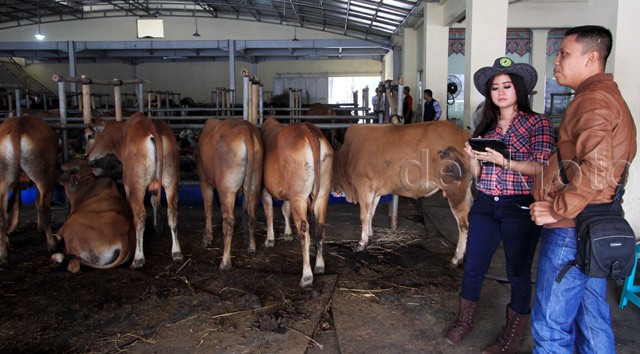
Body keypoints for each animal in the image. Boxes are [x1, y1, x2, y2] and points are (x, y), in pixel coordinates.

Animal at [0, 115, 58, 264]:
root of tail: (18, 125)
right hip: (44, 174)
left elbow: (16, 201)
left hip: (4, 178)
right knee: (44, 207)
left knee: (2, 214)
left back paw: (3, 254)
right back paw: (52, 245)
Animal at [85, 112, 182, 266]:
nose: (86, 156)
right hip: (170, 179)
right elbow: (154, 200)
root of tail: (153, 128)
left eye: (89, 136)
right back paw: (176, 252)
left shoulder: (128, 185)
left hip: (136, 185)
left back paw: (138, 258)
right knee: (172, 211)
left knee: (140, 216)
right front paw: (157, 226)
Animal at [196, 119, 264, 272]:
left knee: (228, 221)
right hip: (254, 182)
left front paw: (207, 238)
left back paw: (225, 262)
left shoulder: (204, 182)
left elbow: (208, 209)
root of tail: (245, 127)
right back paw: (251, 247)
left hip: (226, 188)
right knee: (251, 215)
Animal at [260, 117, 332, 290]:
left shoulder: (265, 189)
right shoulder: (289, 195)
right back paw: (319, 266)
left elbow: (269, 211)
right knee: (320, 227)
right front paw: (287, 234)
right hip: (323, 191)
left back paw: (306, 276)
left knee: (304, 232)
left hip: (298, 196)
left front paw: (270, 239)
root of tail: (308, 129)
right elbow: (285, 209)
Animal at [332, 120, 472, 266]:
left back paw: (456, 258)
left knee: (464, 223)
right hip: (466, 190)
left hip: (455, 191)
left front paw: (362, 242)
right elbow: (371, 213)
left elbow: (364, 215)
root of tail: (463, 134)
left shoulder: (364, 185)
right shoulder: (375, 191)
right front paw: (370, 234)